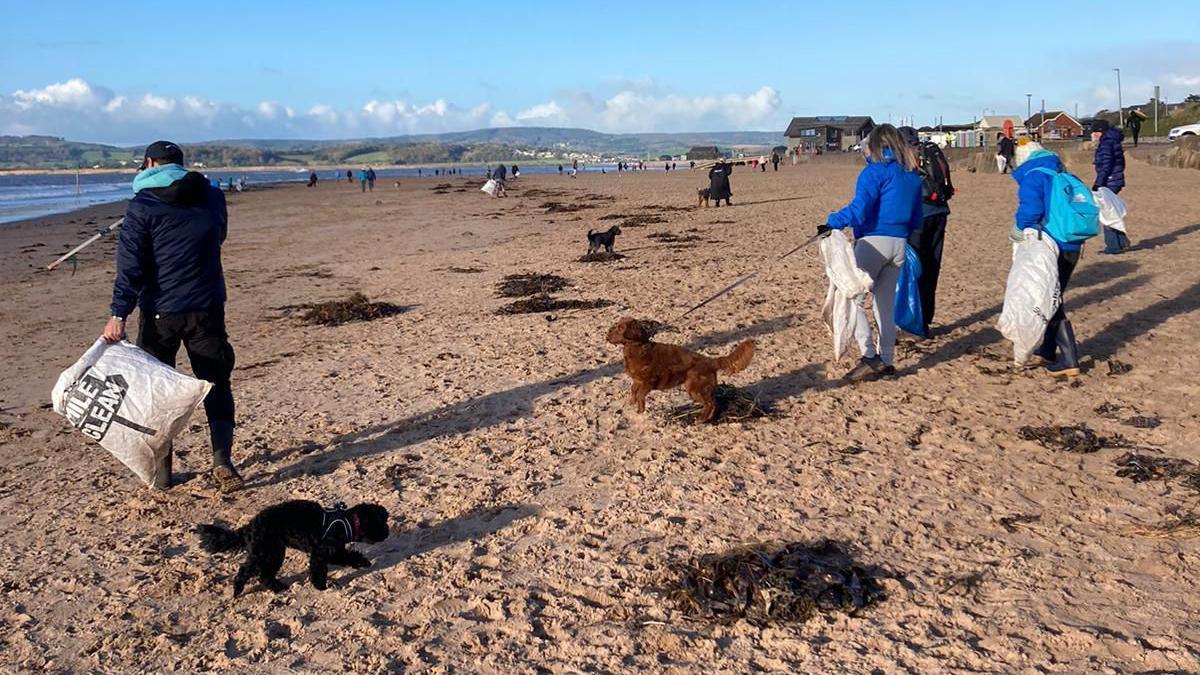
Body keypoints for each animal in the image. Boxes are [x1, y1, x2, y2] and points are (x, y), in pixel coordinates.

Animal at [198, 494, 388, 593]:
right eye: (381, 524)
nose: (387, 533)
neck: (346, 521)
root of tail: (250, 525)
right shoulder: (322, 552)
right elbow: (321, 570)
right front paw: (321, 587)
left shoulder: (332, 551)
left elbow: (347, 556)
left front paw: (362, 562)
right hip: (266, 552)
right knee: (246, 570)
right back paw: (238, 589)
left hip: (273, 552)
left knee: (264, 574)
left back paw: (277, 587)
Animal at [609, 317, 748, 420]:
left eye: (620, 328)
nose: (607, 334)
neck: (637, 347)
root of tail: (711, 361)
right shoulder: (637, 381)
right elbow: (633, 391)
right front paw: (633, 405)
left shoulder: (648, 382)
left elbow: (640, 395)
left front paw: (640, 411)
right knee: (714, 403)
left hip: (695, 389)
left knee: (711, 404)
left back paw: (702, 419)